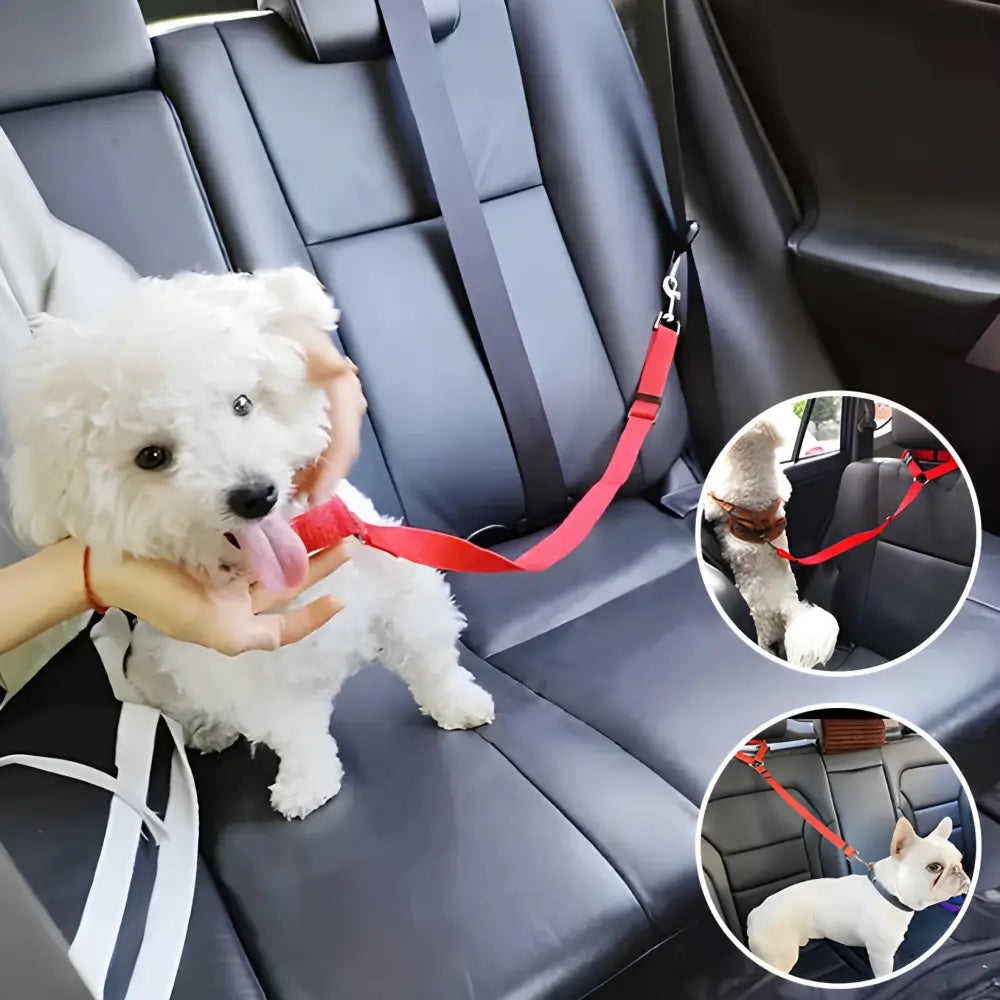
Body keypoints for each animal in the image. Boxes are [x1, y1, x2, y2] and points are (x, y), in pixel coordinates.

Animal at [2, 268, 496, 820]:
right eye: (151, 456)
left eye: (242, 404)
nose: (256, 495)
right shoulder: (255, 673)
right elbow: (297, 735)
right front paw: (308, 783)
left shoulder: (400, 592)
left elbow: (431, 658)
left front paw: (459, 703)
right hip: (157, 668)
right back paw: (210, 729)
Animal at [752, 816, 968, 980]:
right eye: (934, 867)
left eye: (960, 860)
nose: (958, 871)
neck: (887, 894)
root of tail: (754, 914)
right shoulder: (881, 956)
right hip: (780, 955)